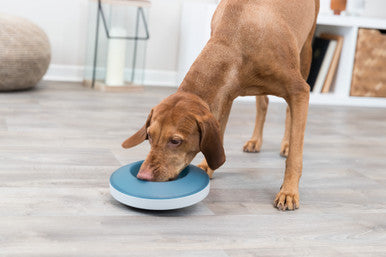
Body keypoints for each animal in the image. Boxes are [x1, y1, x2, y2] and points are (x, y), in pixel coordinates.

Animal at [123, 0, 320, 210]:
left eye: (175, 141)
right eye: (149, 136)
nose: (143, 175)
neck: (234, 38)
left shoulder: (299, 91)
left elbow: (295, 156)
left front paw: (288, 191)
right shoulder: (226, 95)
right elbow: (221, 130)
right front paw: (207, 167)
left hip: (305, 51)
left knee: (290, 113)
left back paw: (286, 144)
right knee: (263, 103)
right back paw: (255, 141)